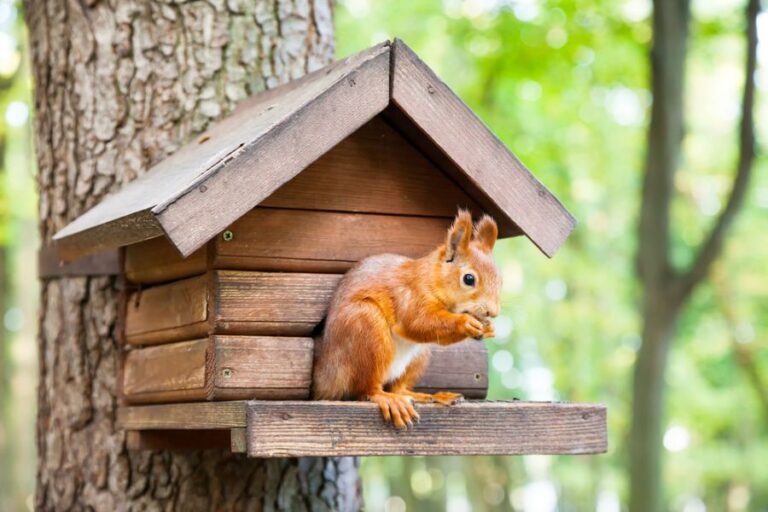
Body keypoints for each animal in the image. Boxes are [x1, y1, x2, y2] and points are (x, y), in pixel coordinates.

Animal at [312, 210, 501, 429]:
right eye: (469, 279)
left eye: (500, 279)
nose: (493, 312)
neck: (431, 278)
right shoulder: (410, 295)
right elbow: (417, 323)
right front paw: (464, 322)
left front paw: (489, 329)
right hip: (366, 329)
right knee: (366, 390)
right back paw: (388, 399)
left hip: (419, 355)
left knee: (399, 388)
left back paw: (431, 396)